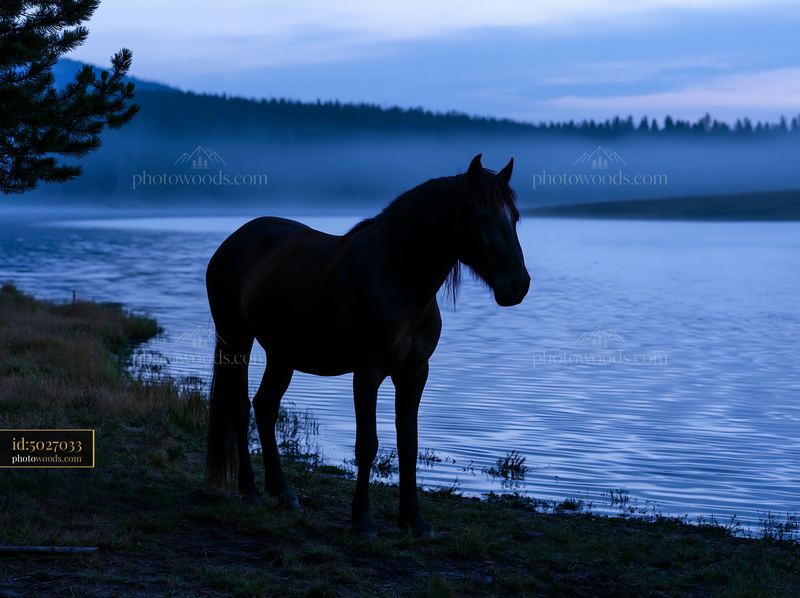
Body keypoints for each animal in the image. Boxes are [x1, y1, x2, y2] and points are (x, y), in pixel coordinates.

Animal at [204, 154, 530, 538]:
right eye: (481, 217)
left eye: (515, 217)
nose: (518, 285)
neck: (399, 278)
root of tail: (233, 241)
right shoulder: (368, 372)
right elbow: (367, 445)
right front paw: (362, 521)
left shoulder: (414, 372)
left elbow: (408, 444)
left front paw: (415, 521)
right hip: (236, 339)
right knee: (240, 407)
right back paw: (251, 491)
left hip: (281, 354)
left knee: (265, 406)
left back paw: (284, 493)